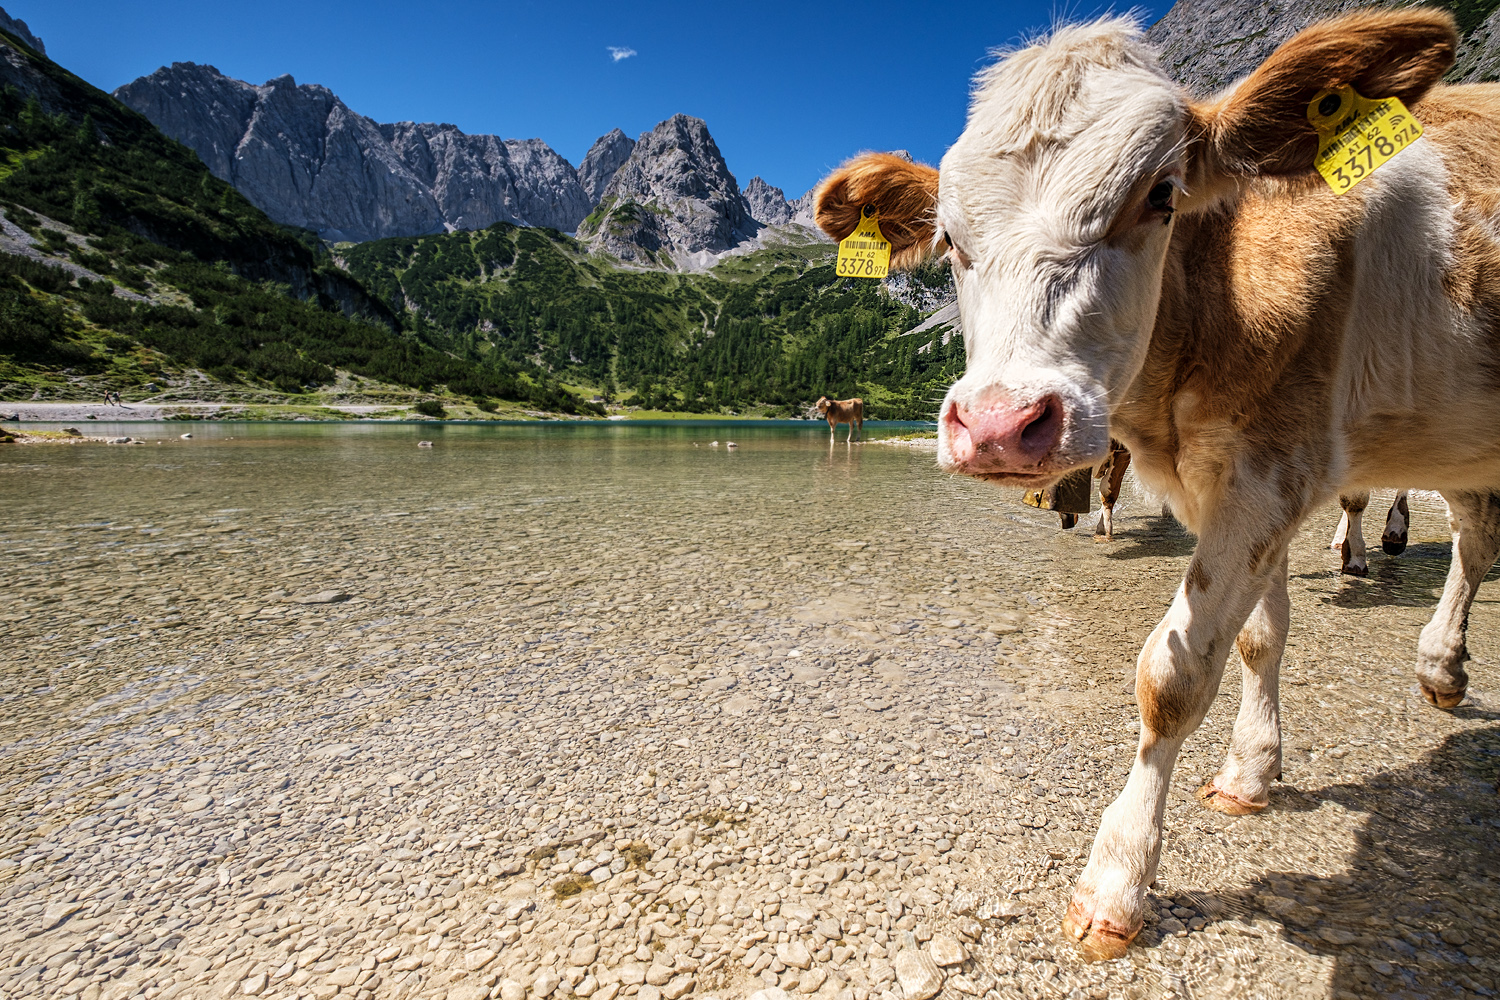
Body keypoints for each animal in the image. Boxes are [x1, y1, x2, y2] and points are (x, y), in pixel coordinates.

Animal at [822, 9, 1500, 959]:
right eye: (950, 240)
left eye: (1160, 195)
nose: (999, 424)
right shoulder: (1257, 483)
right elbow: (1260, 638)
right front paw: (1251, 772)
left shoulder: (1270, 472)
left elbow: (1173, 678)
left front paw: (1118, 877)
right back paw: (1442, 668)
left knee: (1475, 541)